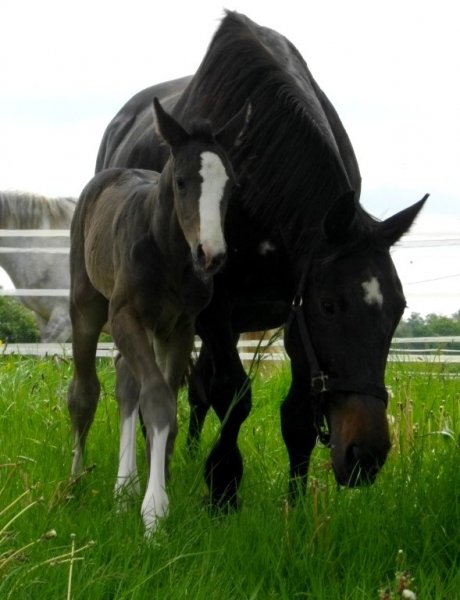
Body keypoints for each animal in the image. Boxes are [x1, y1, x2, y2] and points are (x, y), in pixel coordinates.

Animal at [66, 99, 250, 536]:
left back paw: (124, 487)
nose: (210, 255)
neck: (167, 253)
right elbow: (156, 400)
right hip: (87, 305)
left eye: (231, 186)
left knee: (125, 379)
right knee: (85, 391)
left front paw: (154, 488)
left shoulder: (180, 327)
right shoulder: (126, 316)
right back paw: (75, 482)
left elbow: (163, 405)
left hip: (153, 327)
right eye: (181, 182)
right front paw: (154, 511)